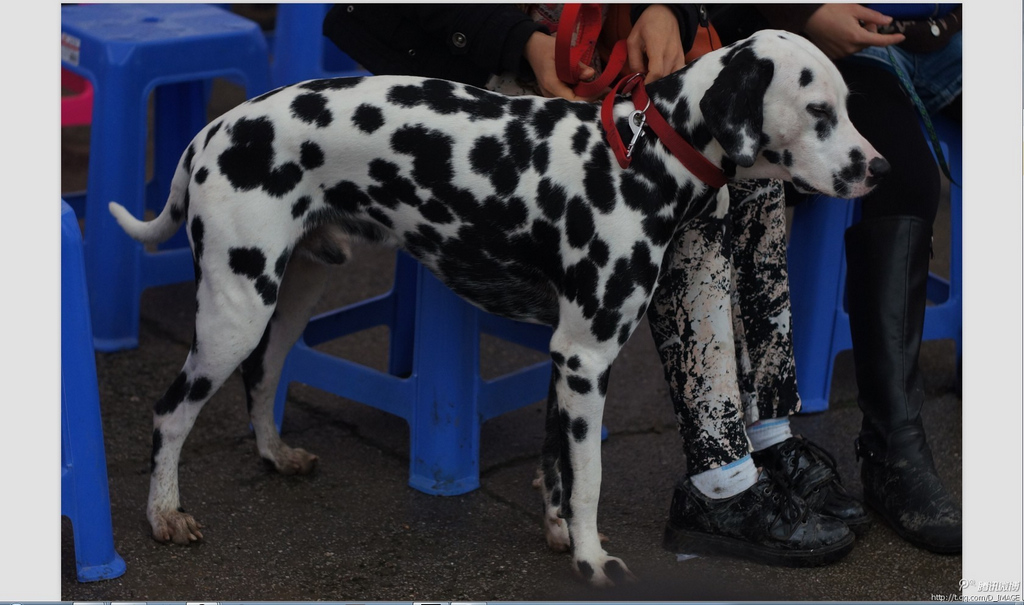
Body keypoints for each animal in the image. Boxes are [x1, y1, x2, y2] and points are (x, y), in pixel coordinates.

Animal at [108, 29, 884, 585]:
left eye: (850, 105)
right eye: (819, 111)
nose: (879, 168)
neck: (642, 157)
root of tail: (213, 132)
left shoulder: (566, 360)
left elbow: (557, 461)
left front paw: (562, 535)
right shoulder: (587, 357)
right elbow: (589, 476)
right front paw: (593, 559)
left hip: (291, 293)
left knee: (264, 375)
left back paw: (273, 453)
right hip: (233, 313)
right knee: (170, 413)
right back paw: (164, 513)